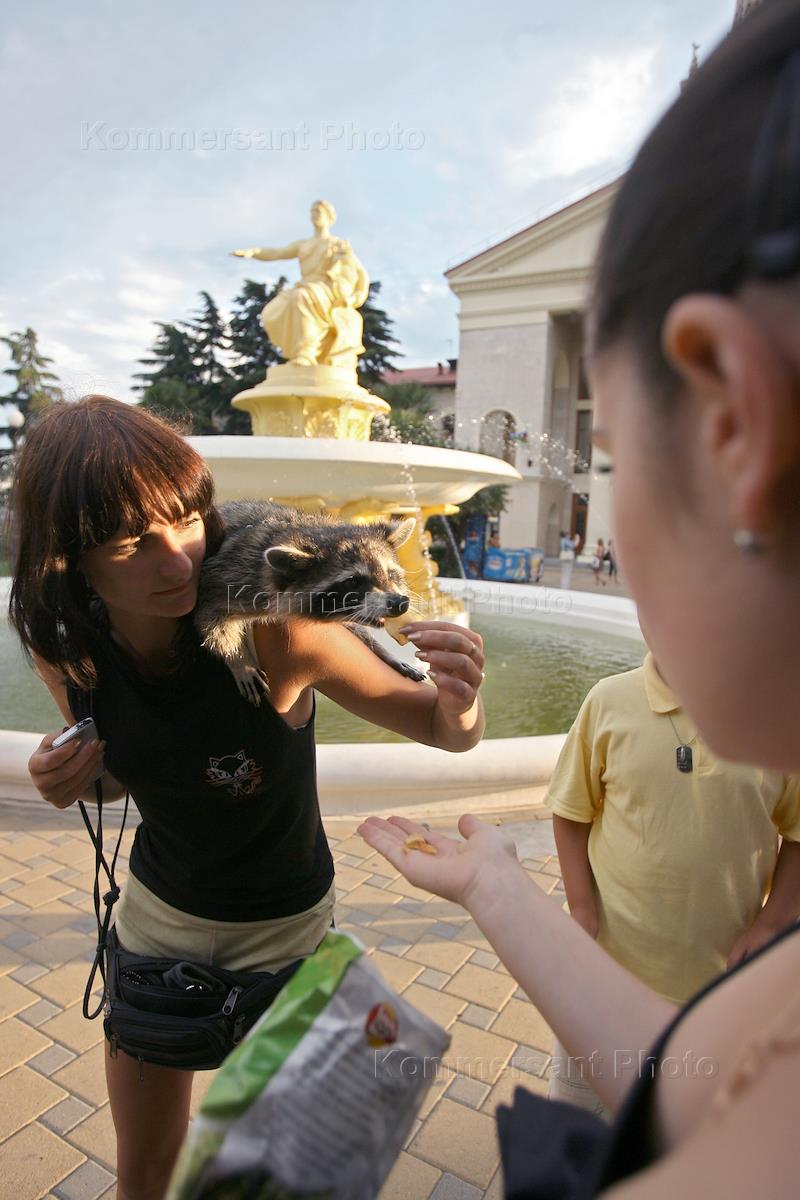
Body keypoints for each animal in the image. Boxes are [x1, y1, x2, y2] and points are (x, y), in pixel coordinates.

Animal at [195, 500, 425, 704]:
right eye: (353, 581)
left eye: (391, 574)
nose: (399, 603)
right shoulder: (230, 577)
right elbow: (211, 617)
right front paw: (238, 659)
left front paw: (384, 652)